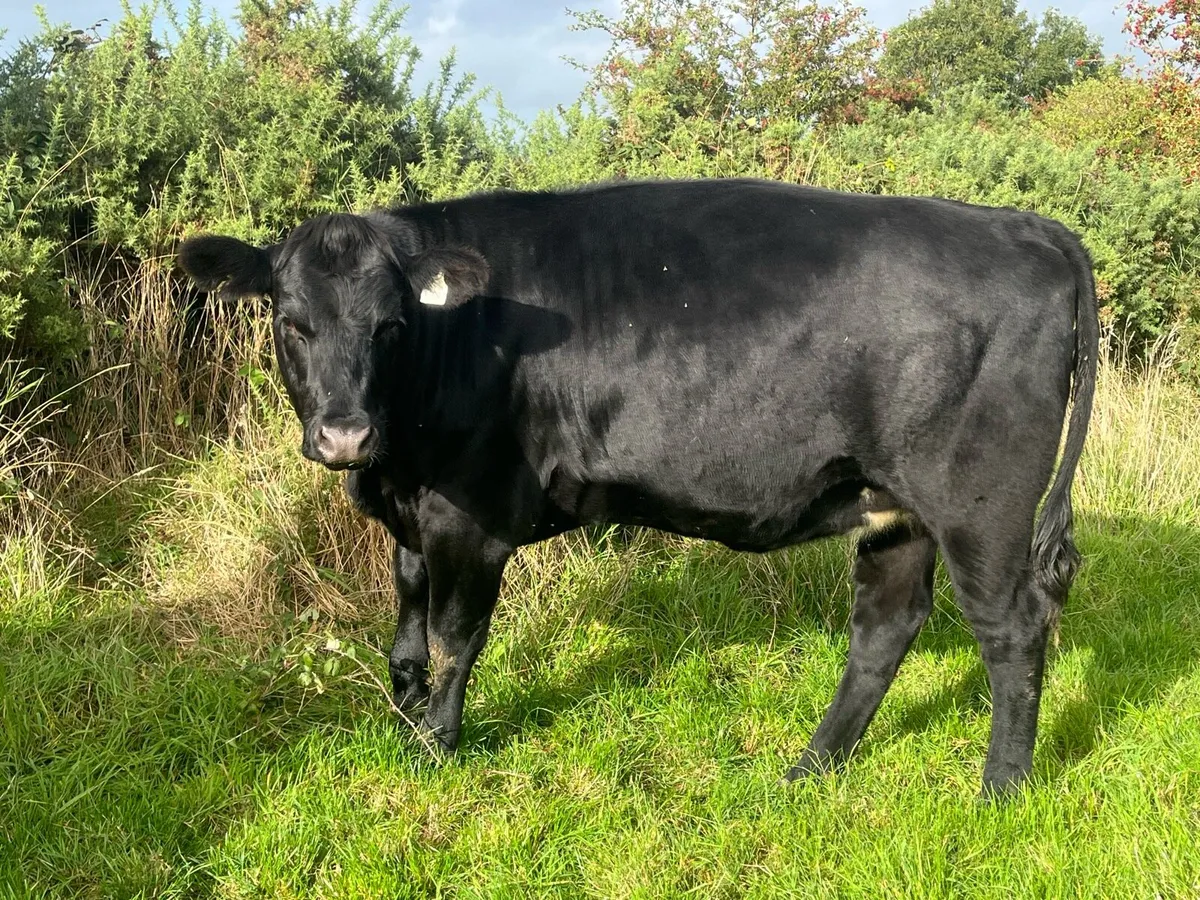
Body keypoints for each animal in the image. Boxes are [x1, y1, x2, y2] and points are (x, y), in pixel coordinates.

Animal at [178, 177, 1098, 796]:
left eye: (392, 324)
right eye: (291, 321)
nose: (345, 435)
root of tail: (1025, 226)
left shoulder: (471, 518)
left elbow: (452, 639)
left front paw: (437, 745)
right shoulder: (411, 515)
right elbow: (404, 638)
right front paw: (403, 726)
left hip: (981, 503)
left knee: (1013, 630)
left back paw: (1001, 789)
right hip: (891, 504)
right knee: (885, 627)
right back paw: (809, 770)